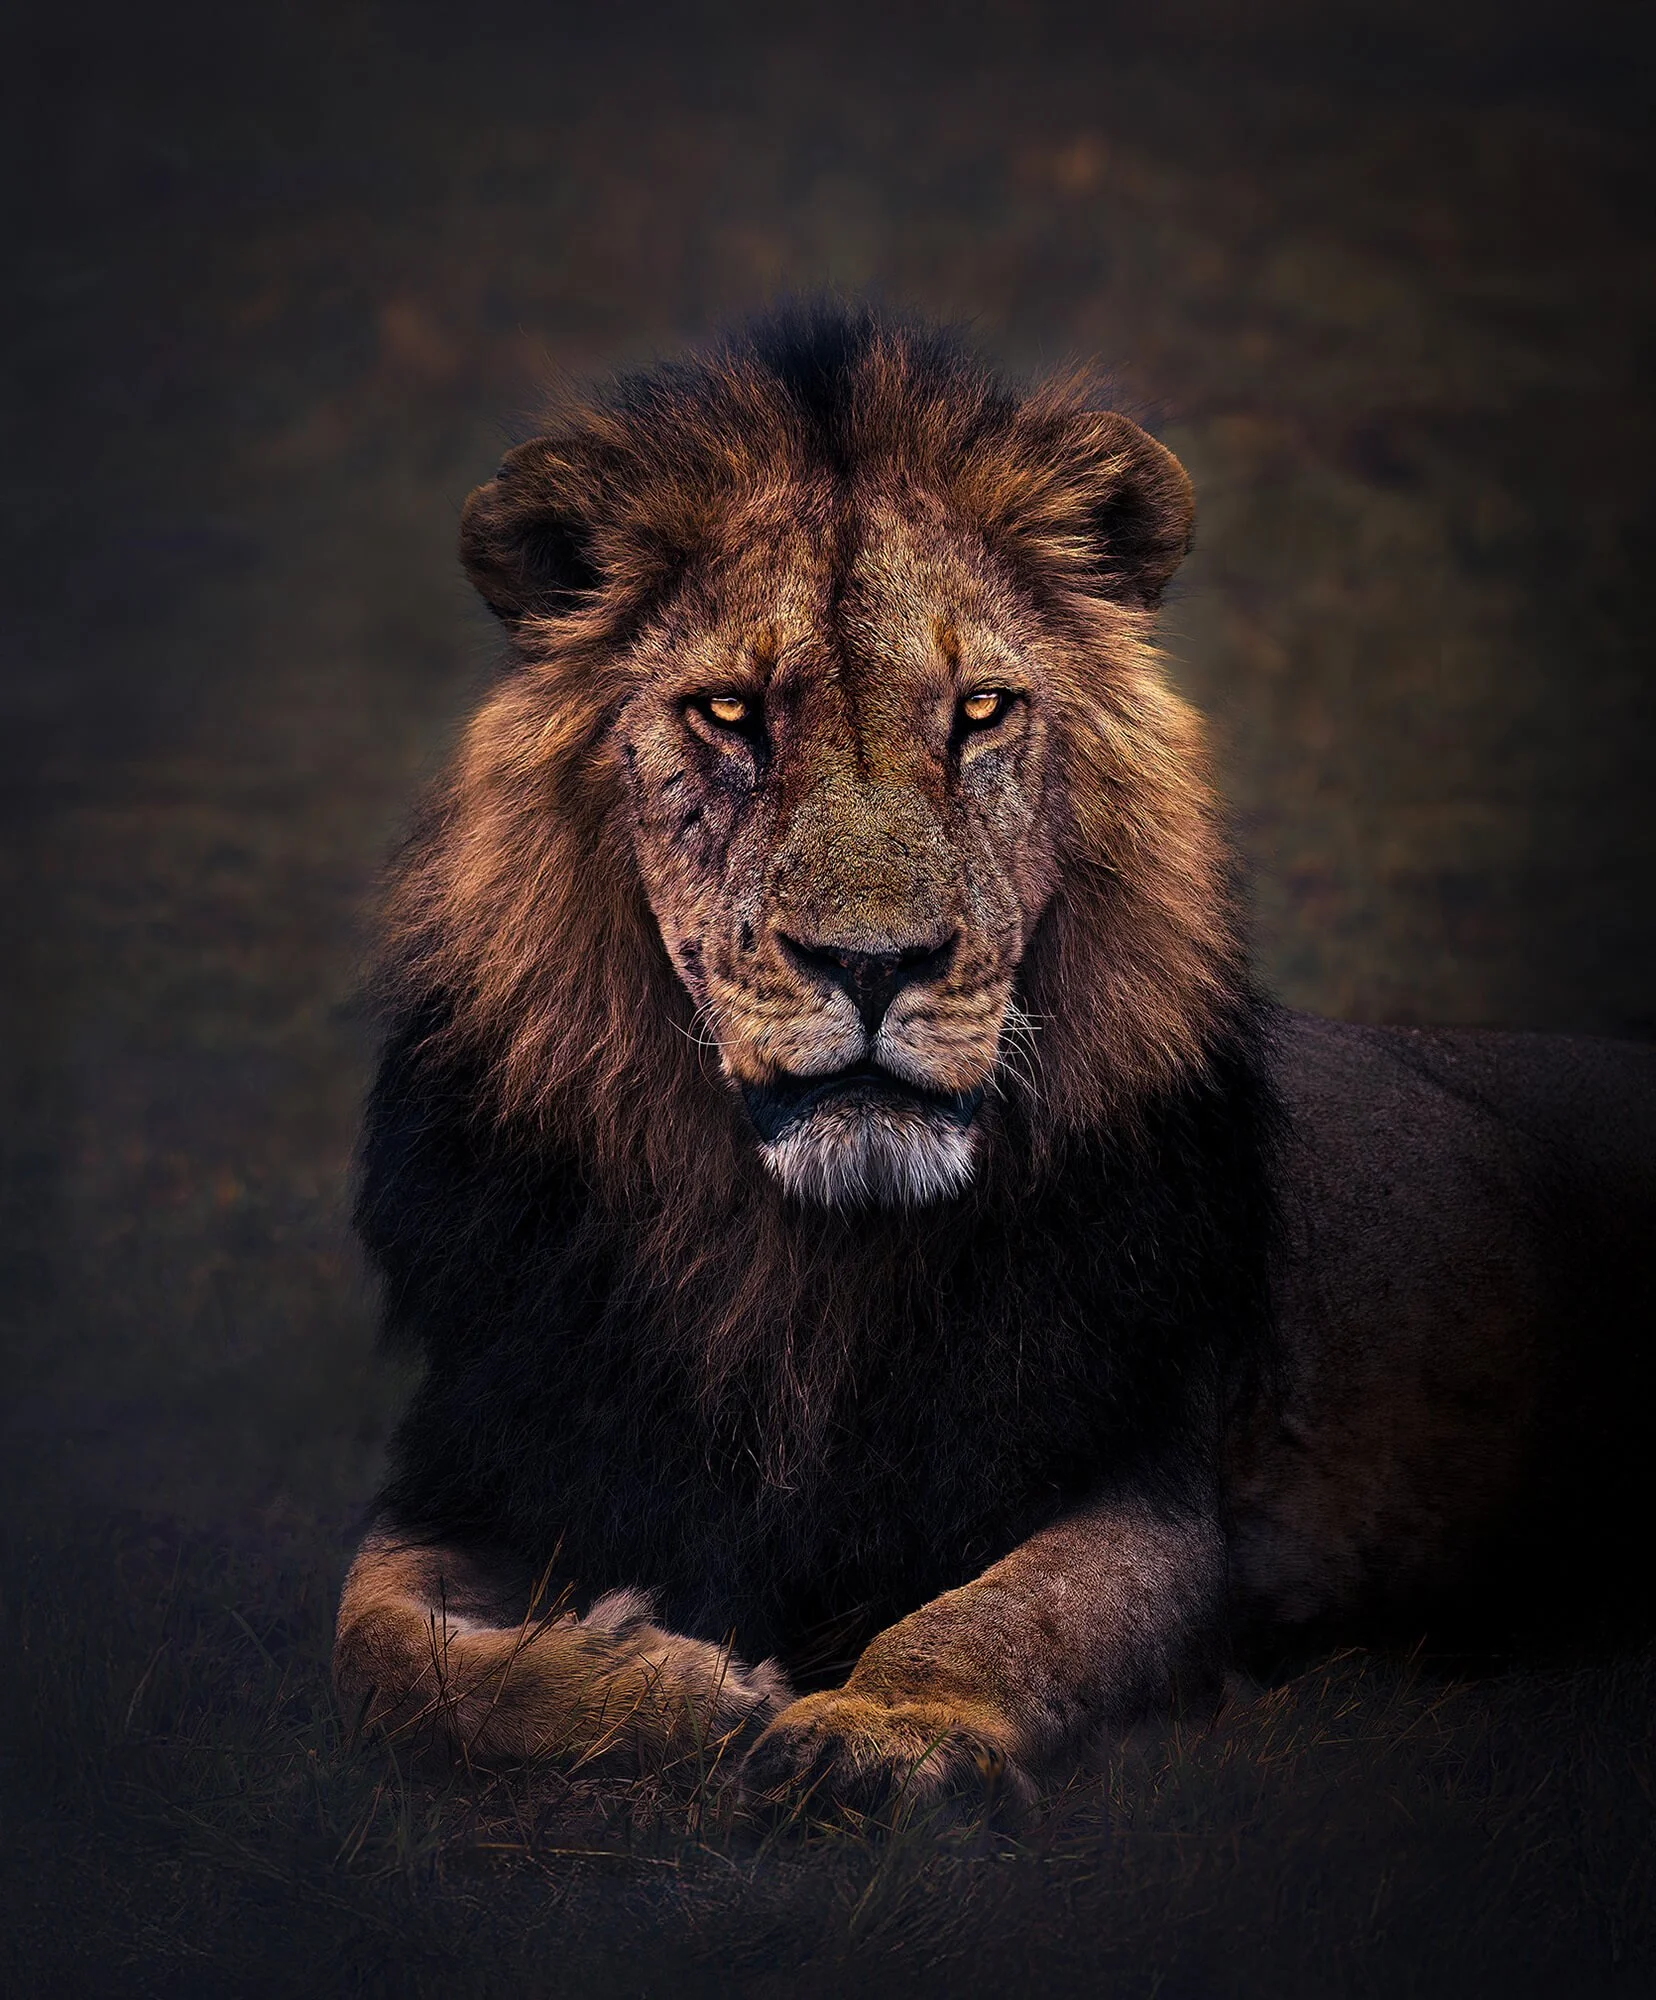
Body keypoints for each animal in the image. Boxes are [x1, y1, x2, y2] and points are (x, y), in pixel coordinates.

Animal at [334, 303, 1656, 1819]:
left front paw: (881, 1727)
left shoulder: (1145, 1488)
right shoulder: (483, 1459)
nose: (873, 962)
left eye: (978, 713)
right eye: (728, 713)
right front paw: (659, 1685)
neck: (801, 1264)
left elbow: (1005, 1614)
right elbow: (378, 1648)